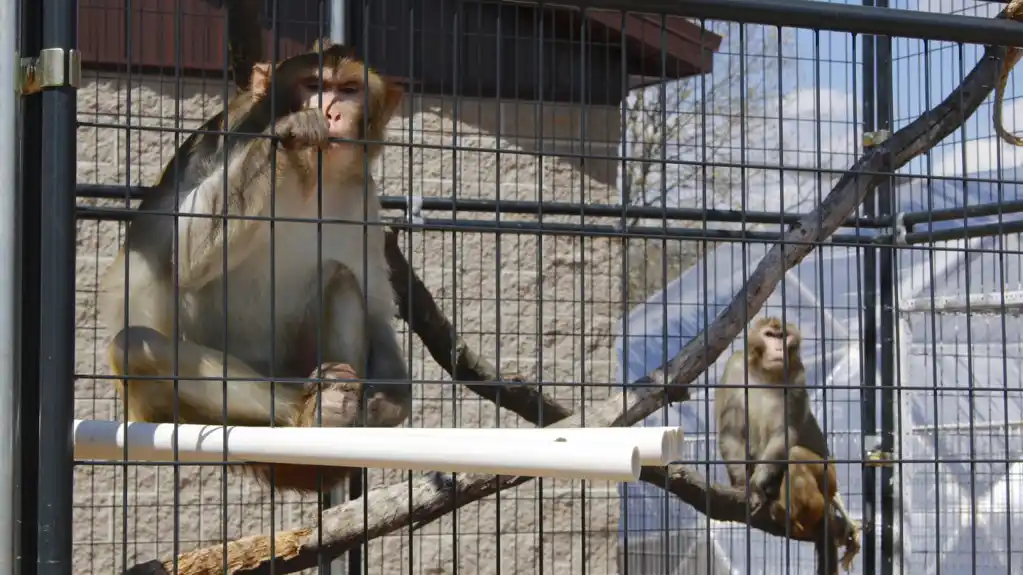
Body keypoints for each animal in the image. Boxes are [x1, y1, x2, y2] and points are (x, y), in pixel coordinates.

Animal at [98, 38, 411, 491]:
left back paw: (339, 413)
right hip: (168, 410)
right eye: (313, 84)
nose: (332, 113)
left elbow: (375, 305)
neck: (309, 176)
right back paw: (308, 411)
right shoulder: (223, 138)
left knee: (341, 279)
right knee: (135, 346)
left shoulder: (363, 198)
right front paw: (291, 132)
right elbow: (184, 254)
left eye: (350, 89)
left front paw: (389, 402)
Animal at [716, 317, 859, 568]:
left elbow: (785, 433)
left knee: (795, 455)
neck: (765, 373)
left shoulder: (797, 376)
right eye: (770, 335)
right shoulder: (735, 367)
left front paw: (755, 486)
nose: (778, 348)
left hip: (828, 481)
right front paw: (743, 484)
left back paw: (792, 513)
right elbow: (731, 431)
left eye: (783, 336)